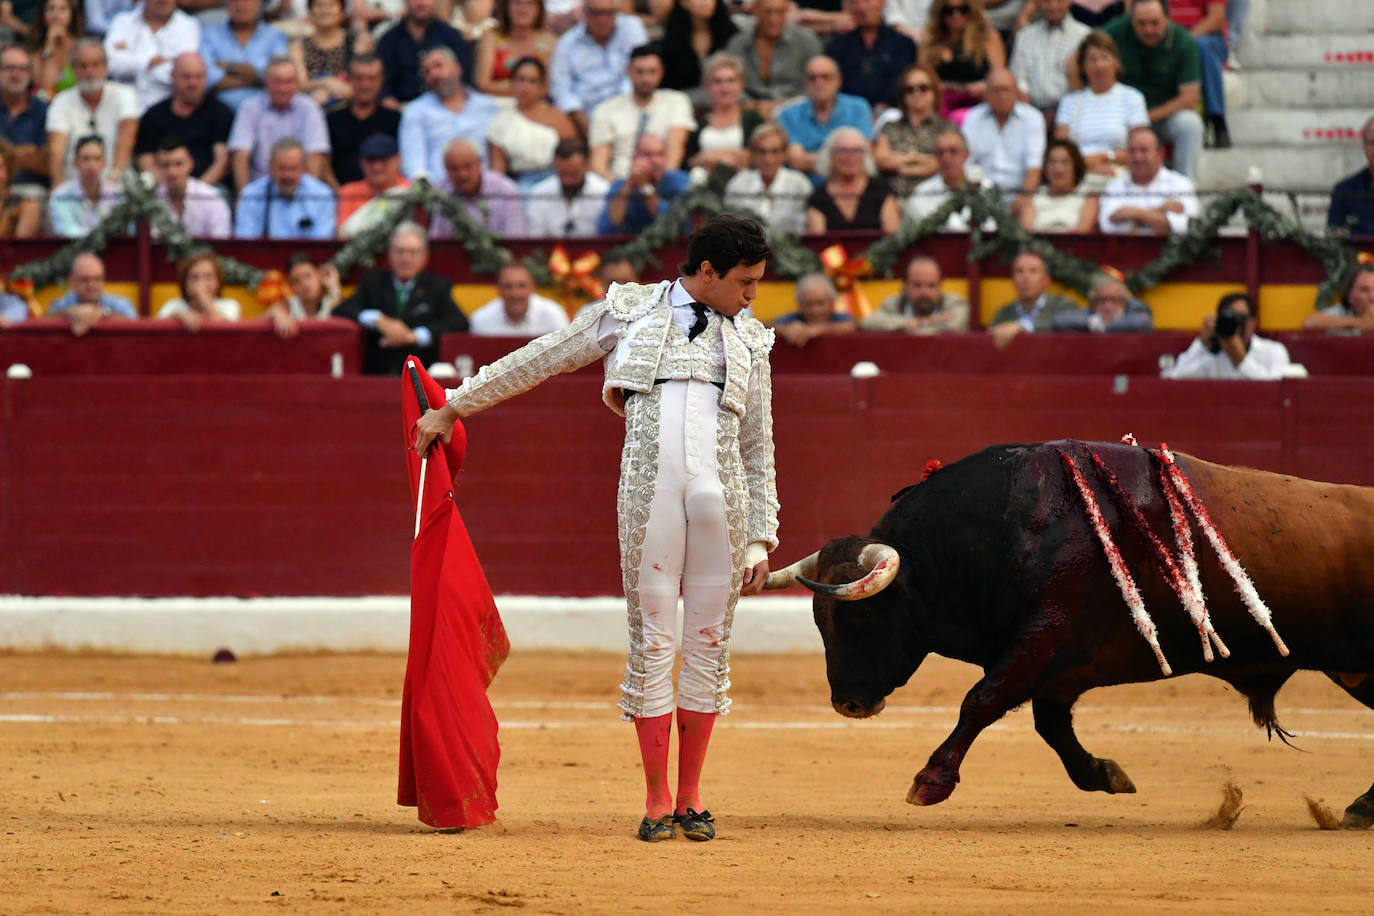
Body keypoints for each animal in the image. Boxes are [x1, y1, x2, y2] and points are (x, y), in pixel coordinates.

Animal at [769, 439, 1374, 829]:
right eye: (819, 621)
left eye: (862, 617)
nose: (848, 703)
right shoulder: (1057, 668)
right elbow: (1050, 726)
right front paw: (1108, 775)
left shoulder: (1040, 641)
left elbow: (981, 701)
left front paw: (930, 782)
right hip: (1356, 670)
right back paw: (1360, 809)